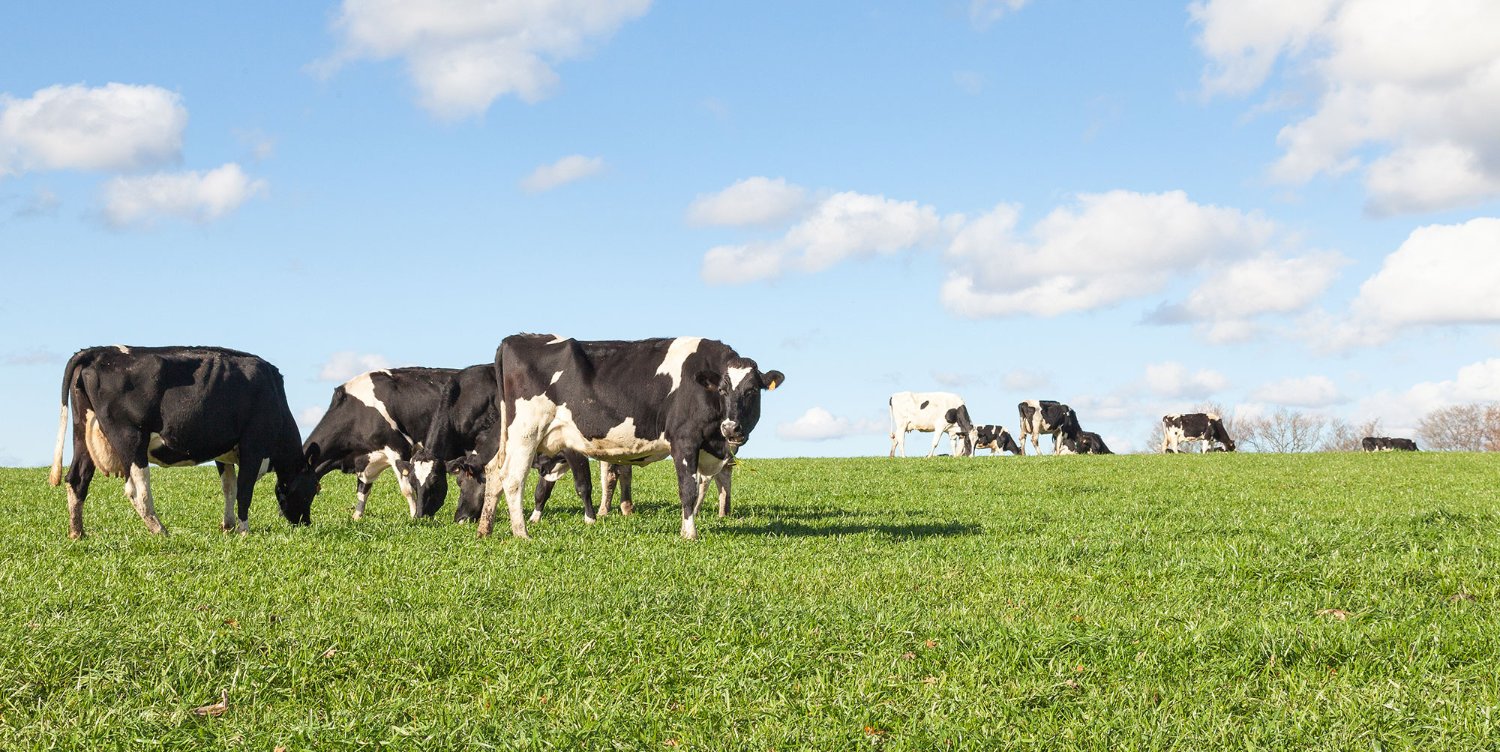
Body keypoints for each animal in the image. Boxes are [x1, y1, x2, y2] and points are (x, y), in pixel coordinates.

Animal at [47, 346, 319, 538]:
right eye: (314, 490)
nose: (305, 523)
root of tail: (98, 351)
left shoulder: (224, 451)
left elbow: (229, 487)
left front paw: (228, 526)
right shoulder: (253, 445)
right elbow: (244, 489)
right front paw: (244, 530)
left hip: (82, 432)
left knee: (77, 479)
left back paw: (78, 533)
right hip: (130, 438)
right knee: (137, 490)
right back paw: (160, 530)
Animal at [302, 366, 460, 520]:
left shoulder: (399, 448)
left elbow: (407, 489)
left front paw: (413, 516)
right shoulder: (365, 459)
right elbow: (362, 490)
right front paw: (357, 517)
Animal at [476, 335, 783, 540]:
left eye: (752, 390)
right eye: (722, 390)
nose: (731, 428)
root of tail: (515, 339)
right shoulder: (684, 439)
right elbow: (688, 488)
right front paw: (689, 534)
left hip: (510, 435)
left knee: (493, 472)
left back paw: (485, 528)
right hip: (526, 431)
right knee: (512, 478)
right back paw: (521, 533)